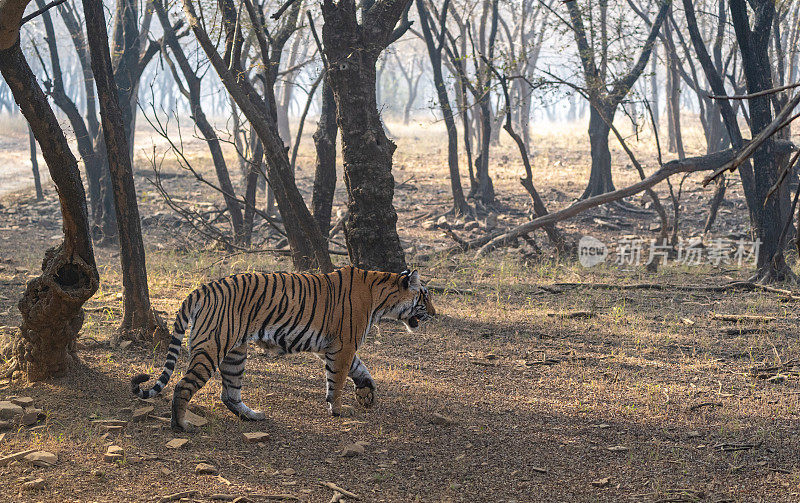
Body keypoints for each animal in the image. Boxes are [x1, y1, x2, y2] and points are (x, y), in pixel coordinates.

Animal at [130, 264, 434, 434]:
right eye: (425, 297)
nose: (434, 313)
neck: (382, 299)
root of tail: (203, 288)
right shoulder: (343, 346)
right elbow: (337, 381)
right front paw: (338, 409)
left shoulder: (332, 347)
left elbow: (362, 370)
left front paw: (367, 395)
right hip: (212, 348)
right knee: (183, 386)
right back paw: (181, 426)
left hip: (235, 352)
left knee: (229, 393)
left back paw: (252, 416)